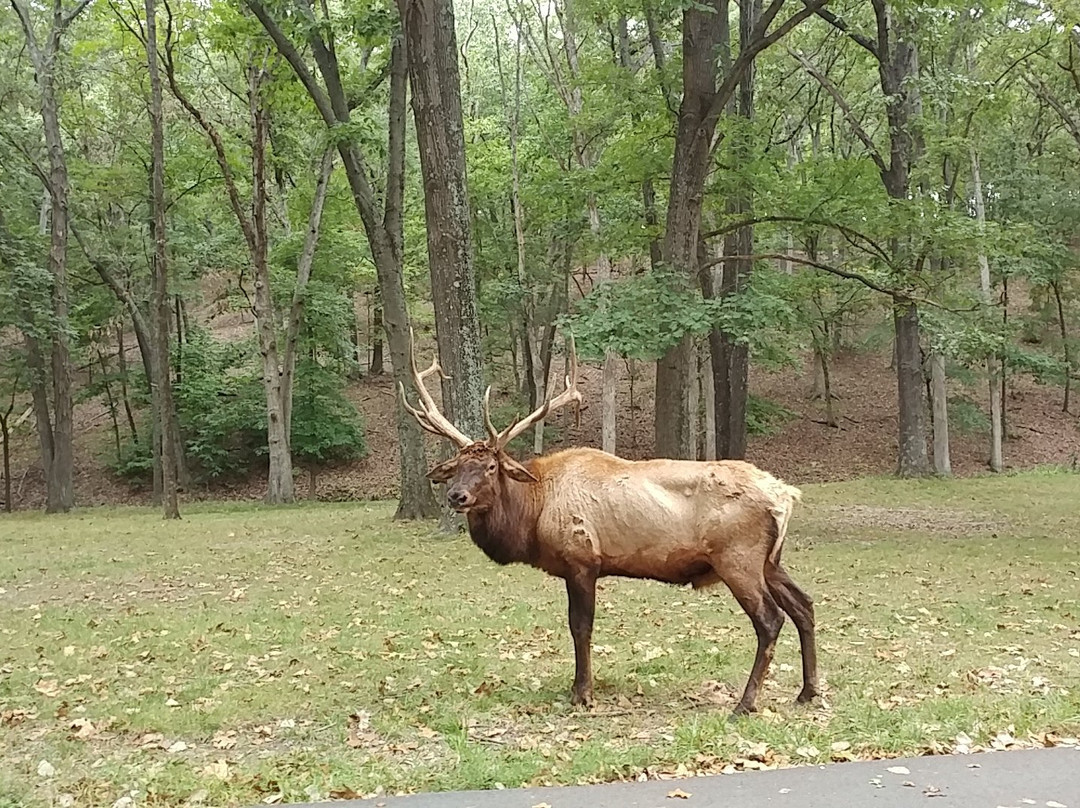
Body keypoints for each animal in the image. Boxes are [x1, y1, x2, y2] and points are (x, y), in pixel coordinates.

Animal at [399, 330, 816, 717]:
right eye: (455, 466)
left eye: (489, 467)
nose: (456, 496)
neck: (534, 512)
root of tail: (785, 496)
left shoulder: (582, 560)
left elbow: (580, 627)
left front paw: (582, 693)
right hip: (770, 561)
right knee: (804, 605)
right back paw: (807, 692)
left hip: (737, 558)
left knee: (770, 619)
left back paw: (746, 703)